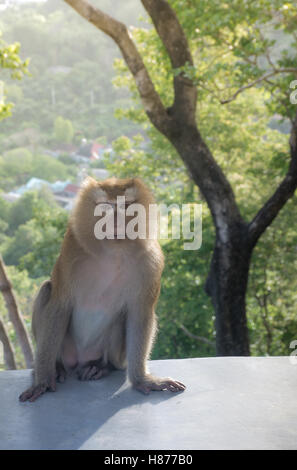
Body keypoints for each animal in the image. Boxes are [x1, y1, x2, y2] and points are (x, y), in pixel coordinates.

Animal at [19, 176, 185, 400]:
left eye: (125, 206)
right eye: (106, 206)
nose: (115, 221)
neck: (114, 250)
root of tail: (80, 359)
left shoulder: (151, 261)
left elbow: (139, 313)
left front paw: (143, 380)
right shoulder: (71, 250)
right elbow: (60, 305)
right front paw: (43, 380)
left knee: (121, 321)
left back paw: (102, 366)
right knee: (47, 289)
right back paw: (58, 366)